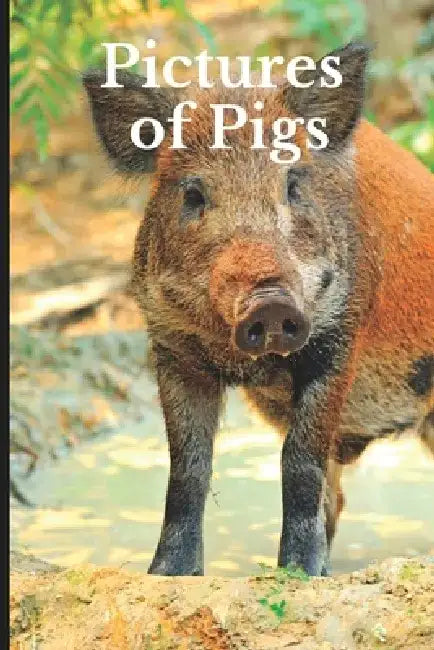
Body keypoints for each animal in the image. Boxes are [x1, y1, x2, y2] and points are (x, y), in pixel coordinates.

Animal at [83, 42, 434, 576]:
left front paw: (301, 575)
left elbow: (300, 460)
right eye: (193, 193)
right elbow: (187, 467)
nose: (269, 302)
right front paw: (167, 574)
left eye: (293, 185)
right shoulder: (171, 347)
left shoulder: (338, 338)